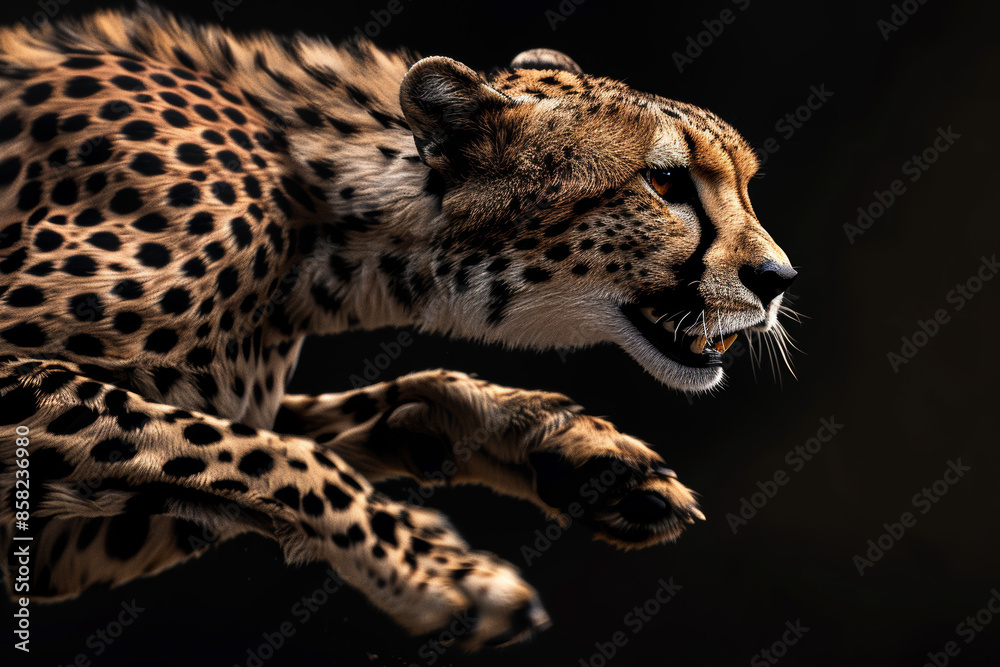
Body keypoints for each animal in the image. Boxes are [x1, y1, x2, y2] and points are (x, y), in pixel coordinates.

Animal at [0, 3, 796, 651]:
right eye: (665, 183)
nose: (778, 278)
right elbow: (279, 453)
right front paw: (438, 569)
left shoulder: (67, 539)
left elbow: (293, 431)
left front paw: (577, 454)